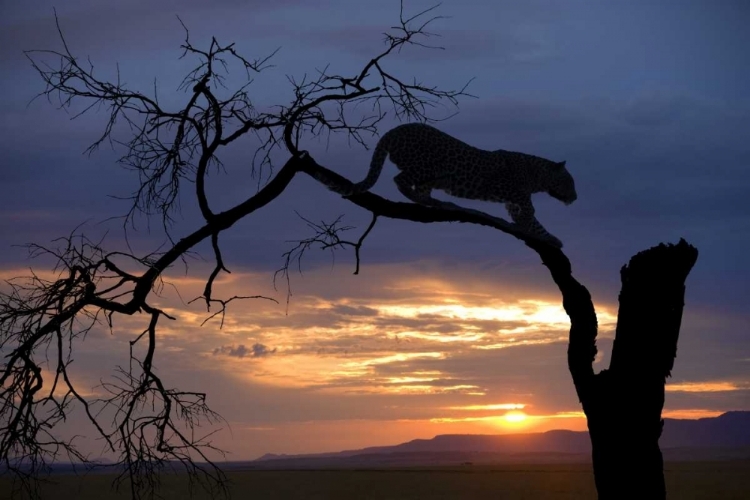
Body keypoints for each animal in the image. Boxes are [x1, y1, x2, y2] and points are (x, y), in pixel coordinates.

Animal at [344, 123, 580, 248]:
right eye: (569, 182)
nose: (575, 197)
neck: (535, 176)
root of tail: (394, 130)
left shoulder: (511, 202)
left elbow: (534, 221)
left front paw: (550, 238)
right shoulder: (507, 189)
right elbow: (530, 210)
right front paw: (526, 226)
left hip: (429, 176)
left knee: (419, 187)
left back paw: (436, 202)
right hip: (428, 166)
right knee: (400, 180)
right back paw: (428, 200)